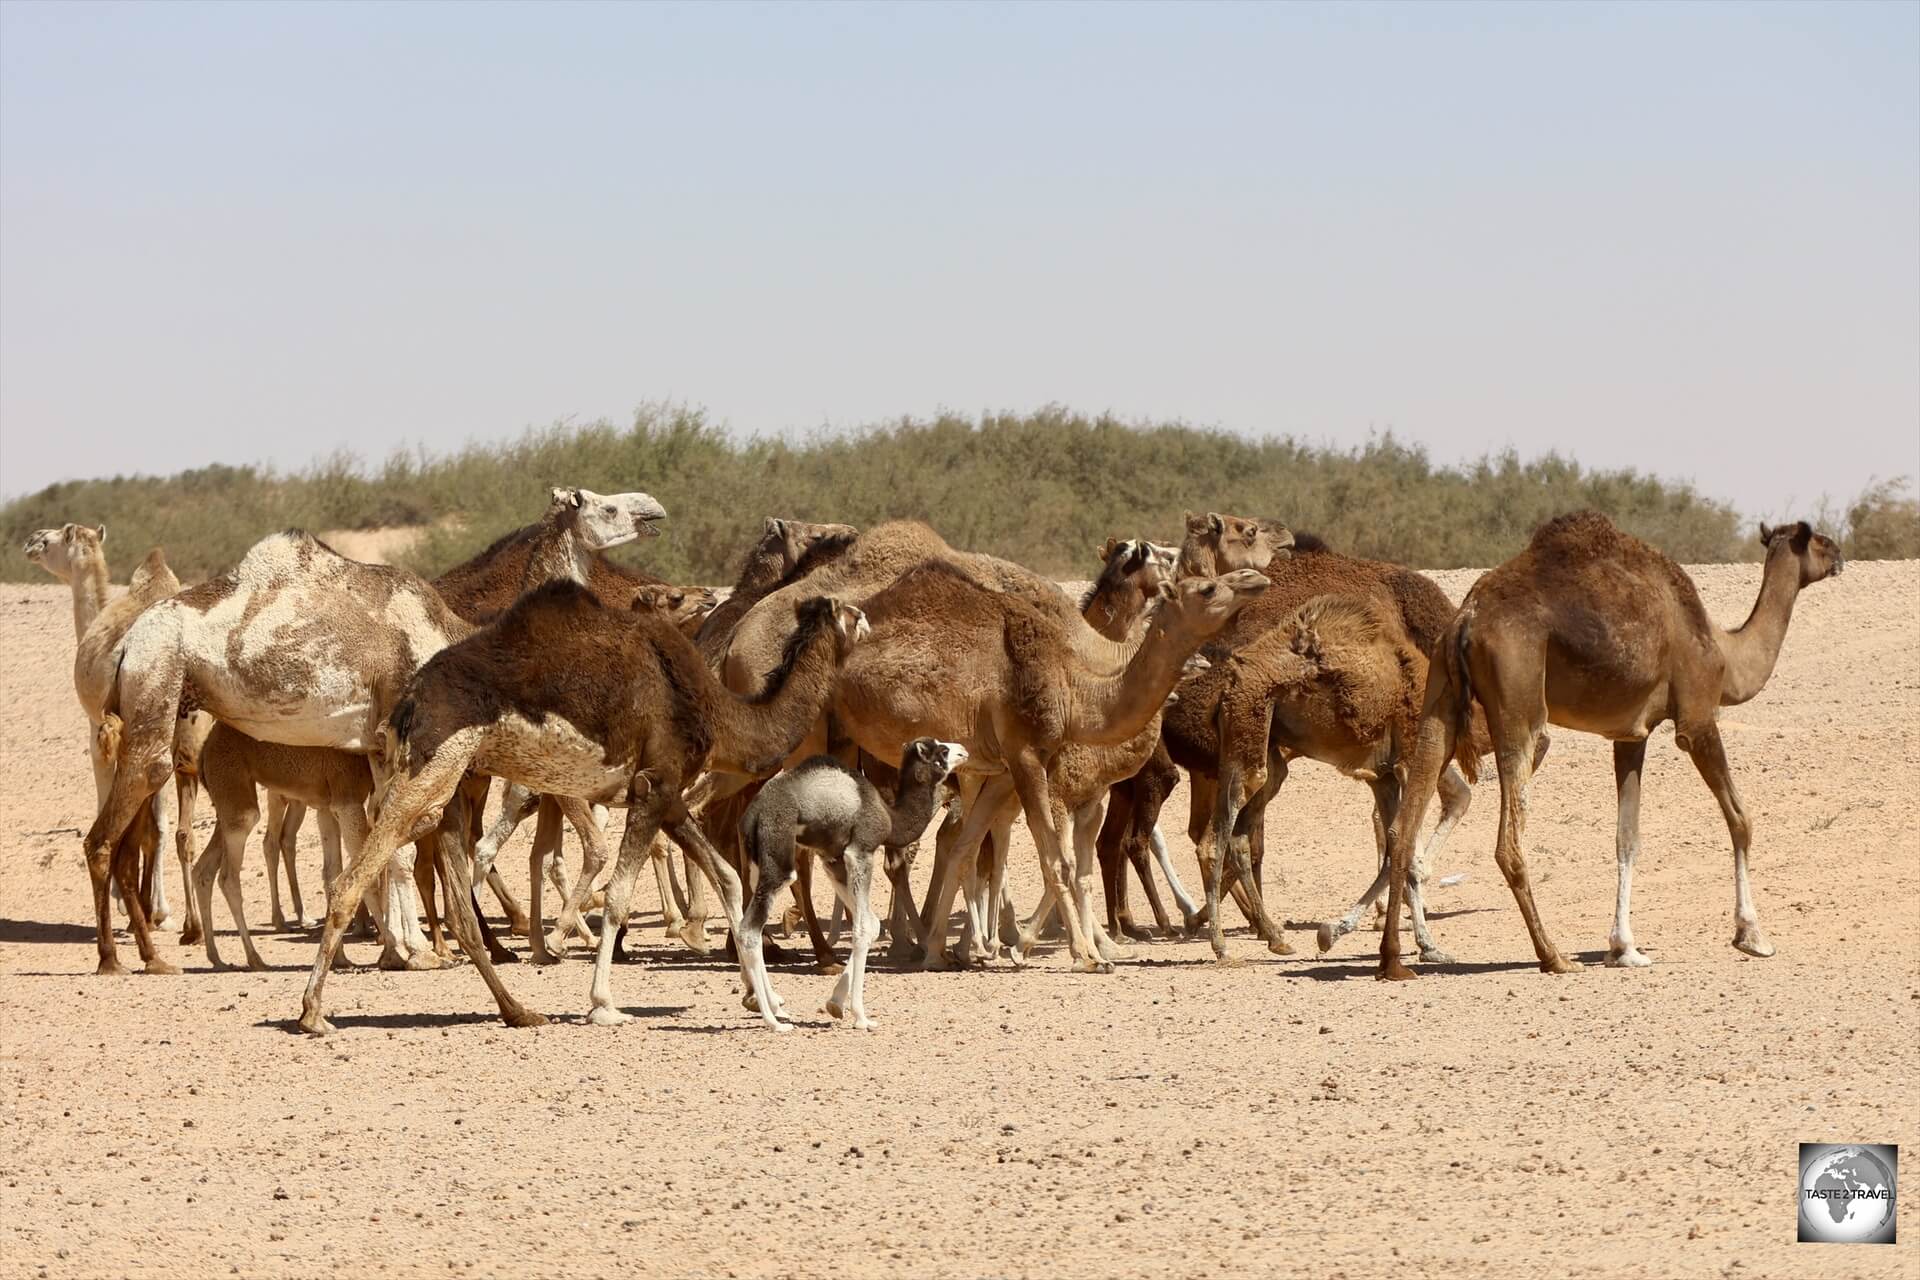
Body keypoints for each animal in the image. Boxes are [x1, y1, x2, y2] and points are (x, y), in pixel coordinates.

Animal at [295, 579, 867, 1028]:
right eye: (852, 612)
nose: (868, 624)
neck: (715, 708)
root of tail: (409, 700)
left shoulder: (665, 793)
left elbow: (726, 876)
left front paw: (760, 996)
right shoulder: (656, 786)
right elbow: (618, 896)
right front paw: (603, 1003)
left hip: (447, 777)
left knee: (449, 884)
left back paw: (518, 1010)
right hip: (434, 762)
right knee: (355, 875)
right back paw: (314, 1012)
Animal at [737, 740, 967, 1028]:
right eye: (942, 752)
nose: (964, 751)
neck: (889, 817)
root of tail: (752, 815)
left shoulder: (833, 859)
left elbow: (871, 924)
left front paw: (835, 1003)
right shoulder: (861, 850)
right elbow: (861, 928)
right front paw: (861, 1016)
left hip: (756, 863)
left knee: (749, 923)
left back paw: (776, 1006)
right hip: (778, 857)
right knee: (749, 930)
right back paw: (774, 1021)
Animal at [1374, 510, 1835, 982]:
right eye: (1821, 540)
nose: (1838, 556)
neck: (1725, 655)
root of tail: (1466, 619)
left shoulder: (1630, 735)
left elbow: (1626, 838)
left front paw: (1624, 947)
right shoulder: (1697, 718)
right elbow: (1740, 819)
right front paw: (1752, 936)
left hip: (1439, 698)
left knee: (1403, 825)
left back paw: (1393, 960)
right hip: (1519, 697)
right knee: (1509, 841)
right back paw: (1552, 955)